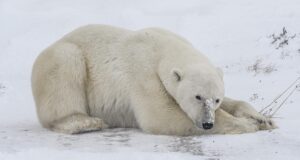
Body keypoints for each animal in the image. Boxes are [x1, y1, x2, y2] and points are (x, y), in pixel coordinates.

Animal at [31, 24, 276, 135]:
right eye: (197, 97)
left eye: (215, 99)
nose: (207, 123)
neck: (160, 47)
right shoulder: (142, 74)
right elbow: (161, 115)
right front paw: (249, 124)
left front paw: (263, 118)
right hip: (61, 59)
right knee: (65, 66)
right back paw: (86, 122)